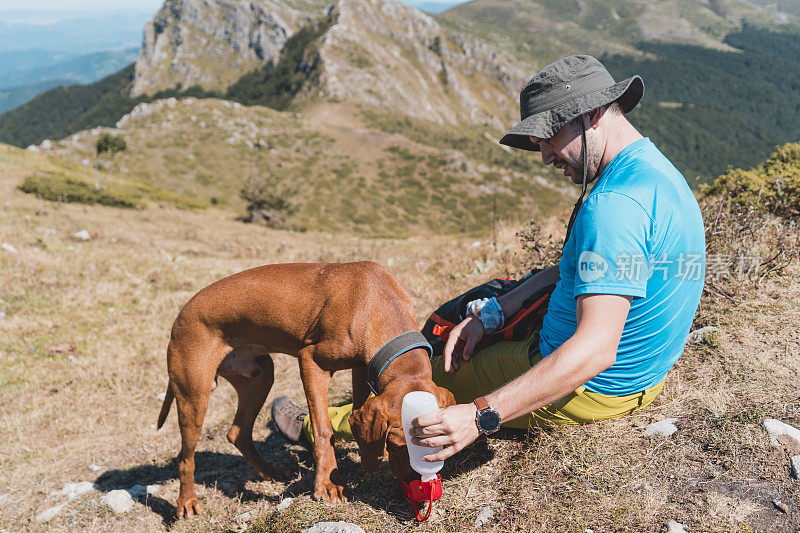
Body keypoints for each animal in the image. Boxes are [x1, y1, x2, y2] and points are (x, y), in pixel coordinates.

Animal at [156, 260, 456, 516]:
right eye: (395, 446)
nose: (420, 489)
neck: (379, 302)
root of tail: (179, 317)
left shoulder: (363, 367)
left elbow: (357, 408)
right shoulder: (311, 362)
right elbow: (323, 430)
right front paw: (329, 483)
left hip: (260, 378)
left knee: (237, 433)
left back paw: (270, 472)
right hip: (194, 394)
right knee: (185, 457)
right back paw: (186, 502)